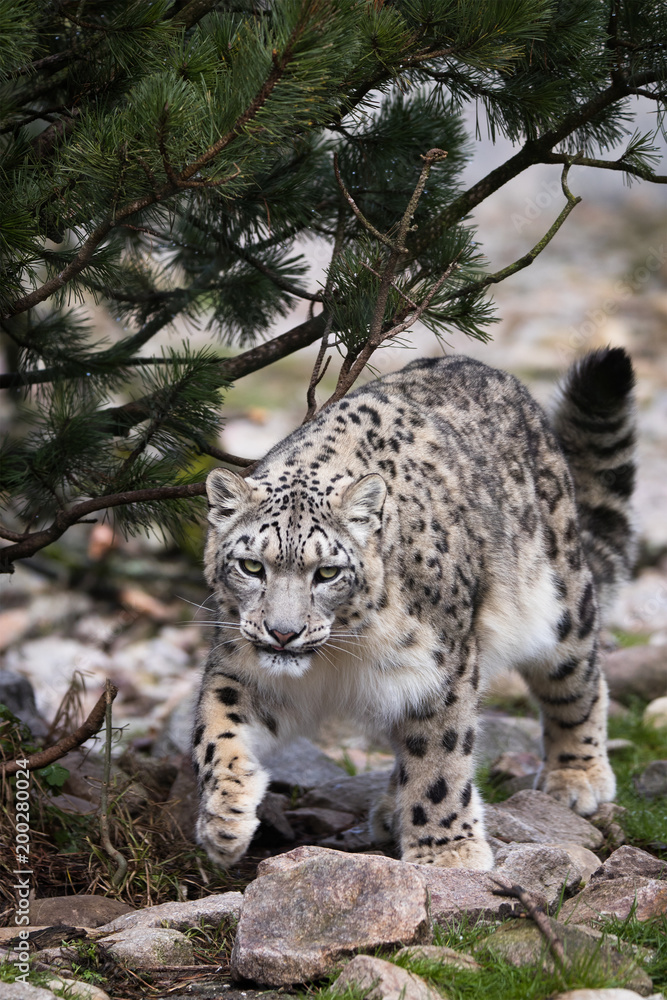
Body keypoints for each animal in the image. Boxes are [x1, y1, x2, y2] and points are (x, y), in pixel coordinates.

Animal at [192, 350, 636, 868]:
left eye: (327, 573)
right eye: (251, 566)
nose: (283, 633)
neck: (339, 655)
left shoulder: (440, 670)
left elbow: (440, 756)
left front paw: (447, 851)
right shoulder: (239, 664)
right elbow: (216, 731)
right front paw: (224, 820)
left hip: (559, 604)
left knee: (578, 679)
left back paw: (577, 776)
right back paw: (390, 809)